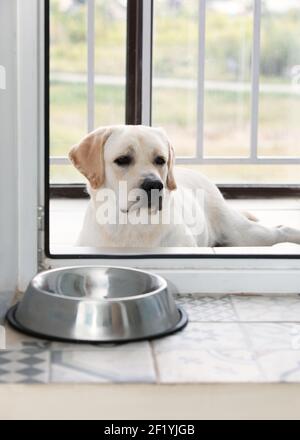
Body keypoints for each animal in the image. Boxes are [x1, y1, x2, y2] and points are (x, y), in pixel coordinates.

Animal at [69, 124, 300, 248]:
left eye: (160, 160)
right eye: (123, 159)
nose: (154, 184)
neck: (133, 225)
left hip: (245, 234)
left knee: (280, 229)